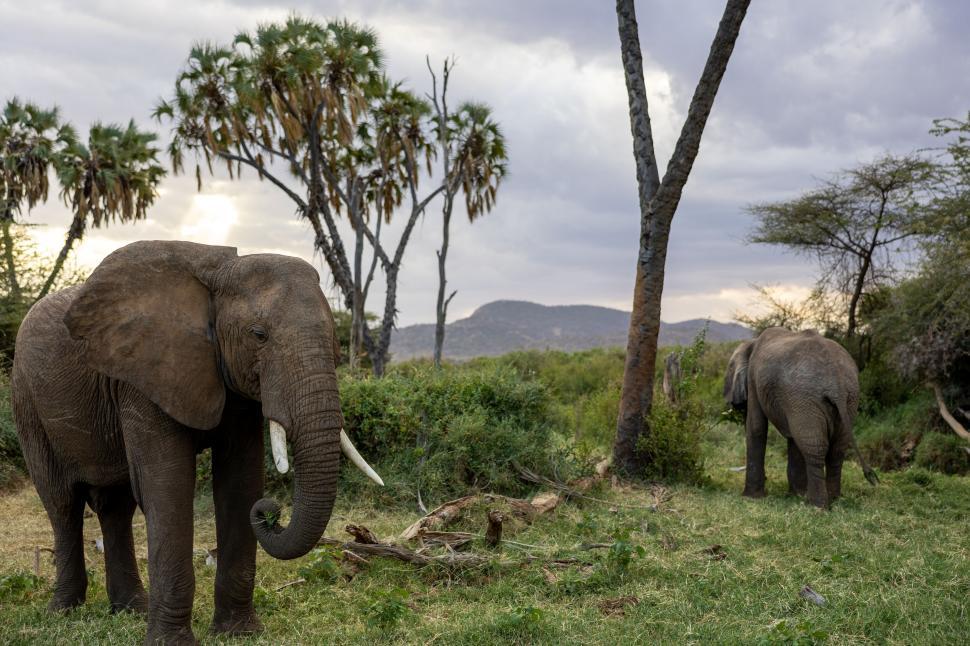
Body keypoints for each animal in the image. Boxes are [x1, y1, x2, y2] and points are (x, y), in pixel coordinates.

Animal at [11, 240, 382, 644]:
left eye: (334, 339)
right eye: (258, 334)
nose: (271, 511)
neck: (219, 274)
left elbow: (239, 482)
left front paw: (239, 633)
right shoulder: (144, 375)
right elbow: (167, 485)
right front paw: (170, 643)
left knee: (116, 507)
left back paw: (132, 609)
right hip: (27, 402)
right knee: (62, 503)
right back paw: (64, 611)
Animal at [723, 327, 878, 508]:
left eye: (730, 369)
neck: (752, 343)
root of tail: (836, 383)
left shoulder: (755, 379)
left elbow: (757, 427)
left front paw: (751, 498)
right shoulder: (793, 403)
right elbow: (793, 439)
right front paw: (796, 494)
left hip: (806, 396)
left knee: (815, 447)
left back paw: (817, 506)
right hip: (847, 398)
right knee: (836, 449)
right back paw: (833, 499)